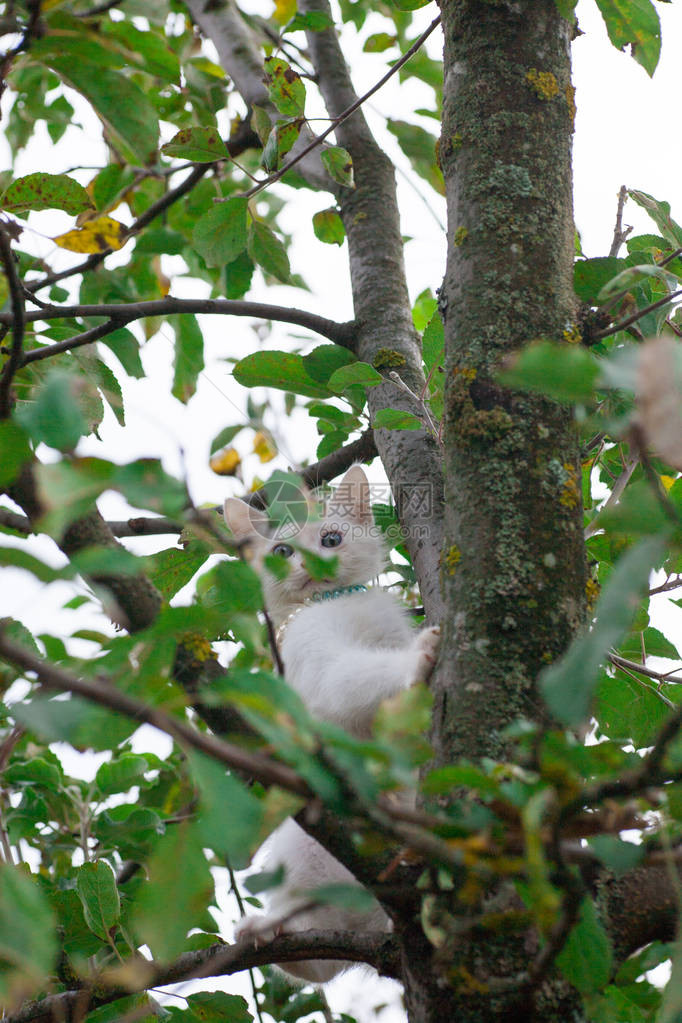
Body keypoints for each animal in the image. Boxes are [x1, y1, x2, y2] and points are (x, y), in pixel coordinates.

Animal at [222, 466, 437, 982]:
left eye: (332, 539)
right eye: (282, 552)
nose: (314, 565)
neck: (332, 601)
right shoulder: (321, 677)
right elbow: (356, 681)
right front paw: (415, 663)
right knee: (311, 961)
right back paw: (269, 928)